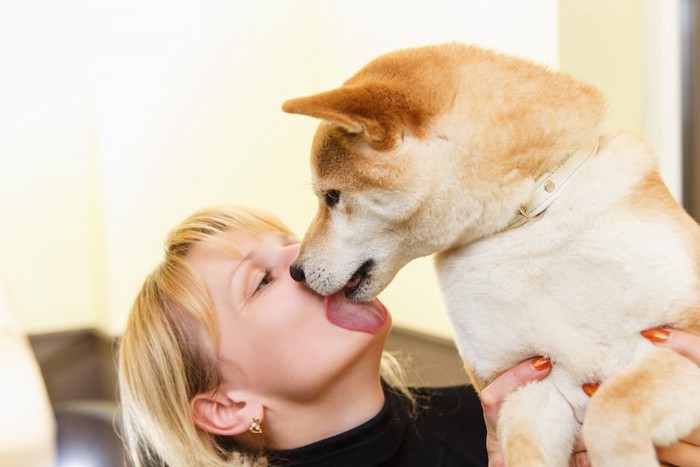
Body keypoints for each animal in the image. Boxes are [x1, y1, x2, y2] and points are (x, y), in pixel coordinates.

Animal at [282, 42, 700, 466]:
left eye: (331, 196)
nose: (295, 271)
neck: (526, 224)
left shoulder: (679, 335)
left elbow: (612, 407)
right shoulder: (528, 387)